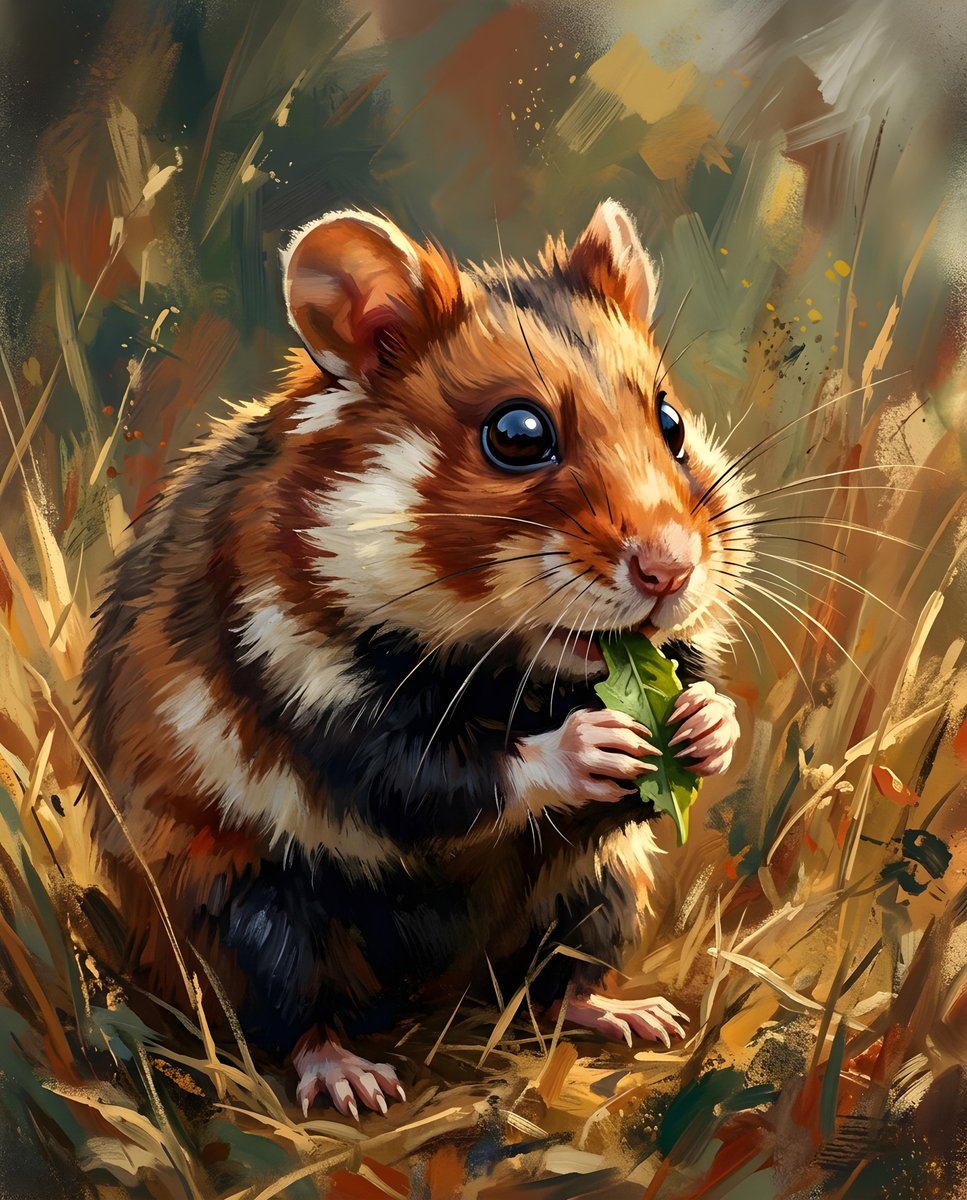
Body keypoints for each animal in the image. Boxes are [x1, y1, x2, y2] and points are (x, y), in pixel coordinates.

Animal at [80, 200, 747, 1118]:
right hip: (243, 908)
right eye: (518, 435)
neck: (515, 672)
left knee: (548, 982)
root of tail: (431, 995)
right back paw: (354, 1079)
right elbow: (436, 780)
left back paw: (633, 1014)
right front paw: (599, 743)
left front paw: (704, 723)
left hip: (600, 892)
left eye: (672, 423)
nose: (671, 571)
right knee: (287, 1016)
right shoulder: (308, 690)